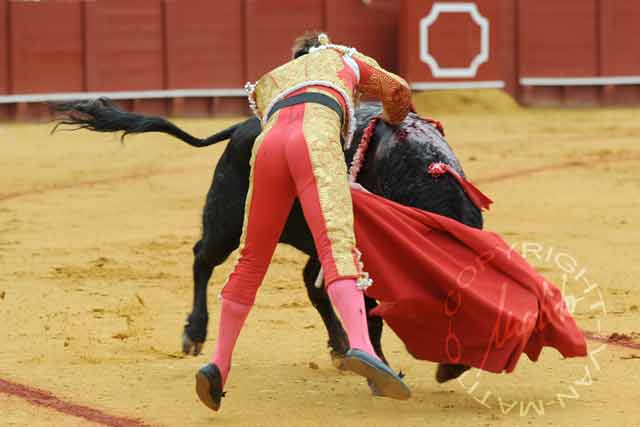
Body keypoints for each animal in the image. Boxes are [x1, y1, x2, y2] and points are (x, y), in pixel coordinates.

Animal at [52, 100, 482, 372]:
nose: (453, 366)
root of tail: (242, 126)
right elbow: (370, 311)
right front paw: (381, 365)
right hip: (227, 220)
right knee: (202, 257)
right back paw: (195, 331)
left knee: (311, 284)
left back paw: (341, 346)